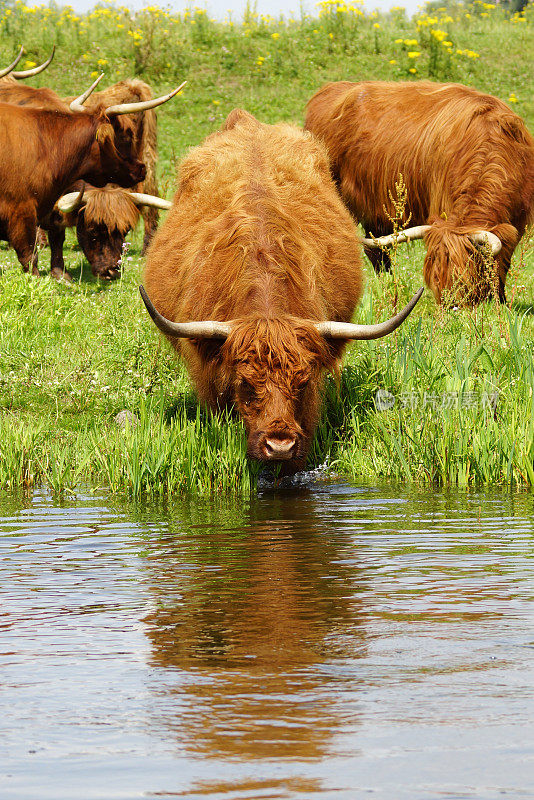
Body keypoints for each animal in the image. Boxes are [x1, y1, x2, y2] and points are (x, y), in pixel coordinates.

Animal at [306, 81, 534, 304]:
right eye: (435, 276)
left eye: (465, 278)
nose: (451, 306)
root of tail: (328, 89)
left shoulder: (517, 221)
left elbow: (503, 260)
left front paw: (500, 299)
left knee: (377, 249)